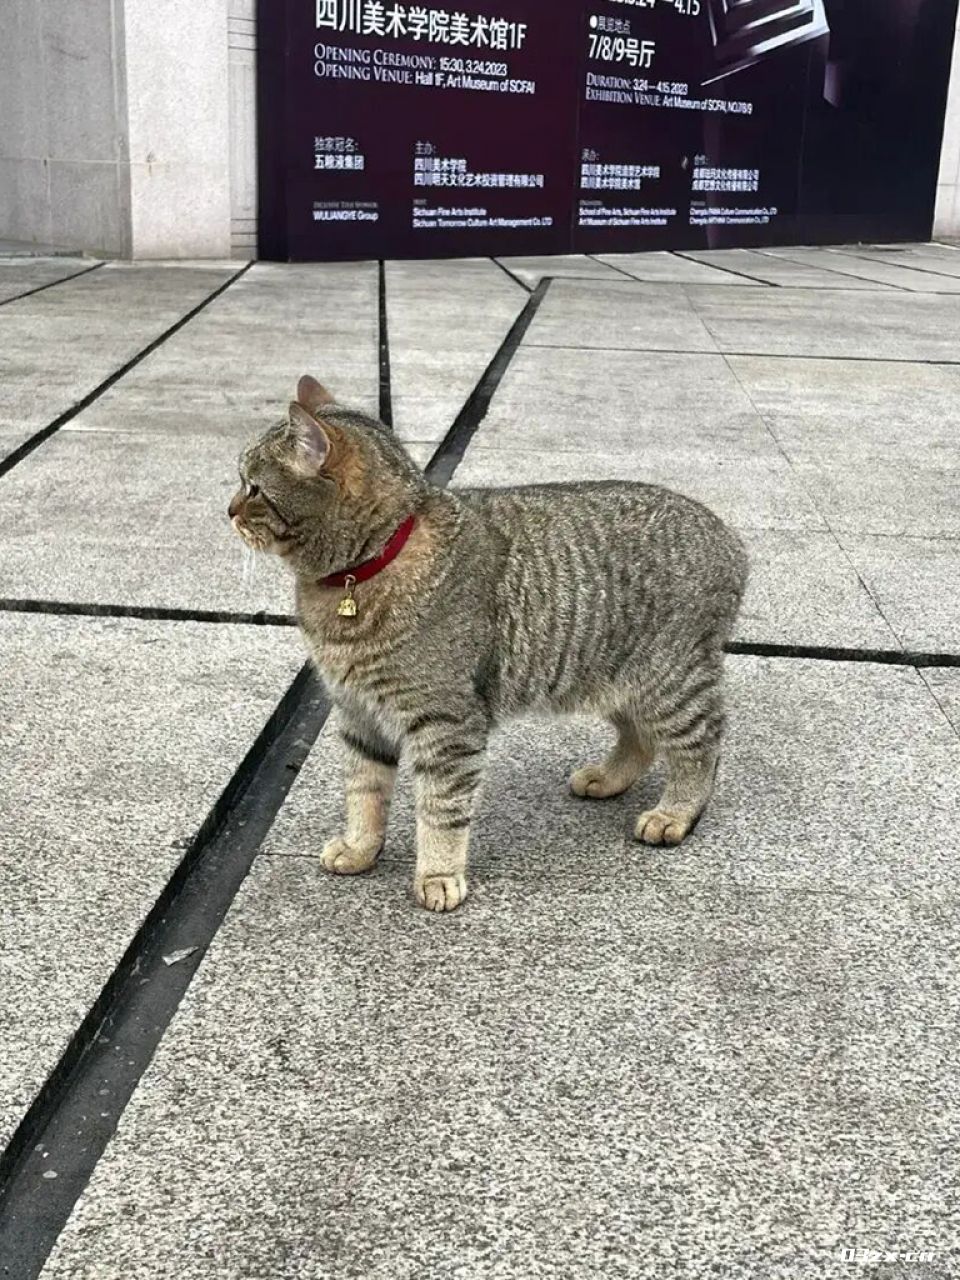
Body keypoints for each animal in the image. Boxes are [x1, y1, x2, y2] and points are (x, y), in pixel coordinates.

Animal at [229, 376, 747, 911]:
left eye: (253, 489)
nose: (228, 511)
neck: (362, 574)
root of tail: (729, 536)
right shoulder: (358, 713)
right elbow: (364, 790)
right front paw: (359, 847)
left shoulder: (447, 725)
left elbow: (441, 808)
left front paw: (438, 873)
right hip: (613, 679)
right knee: (640, 738)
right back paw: (608, 778)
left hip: (666, 683)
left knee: (704, 744)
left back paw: (676, 812)